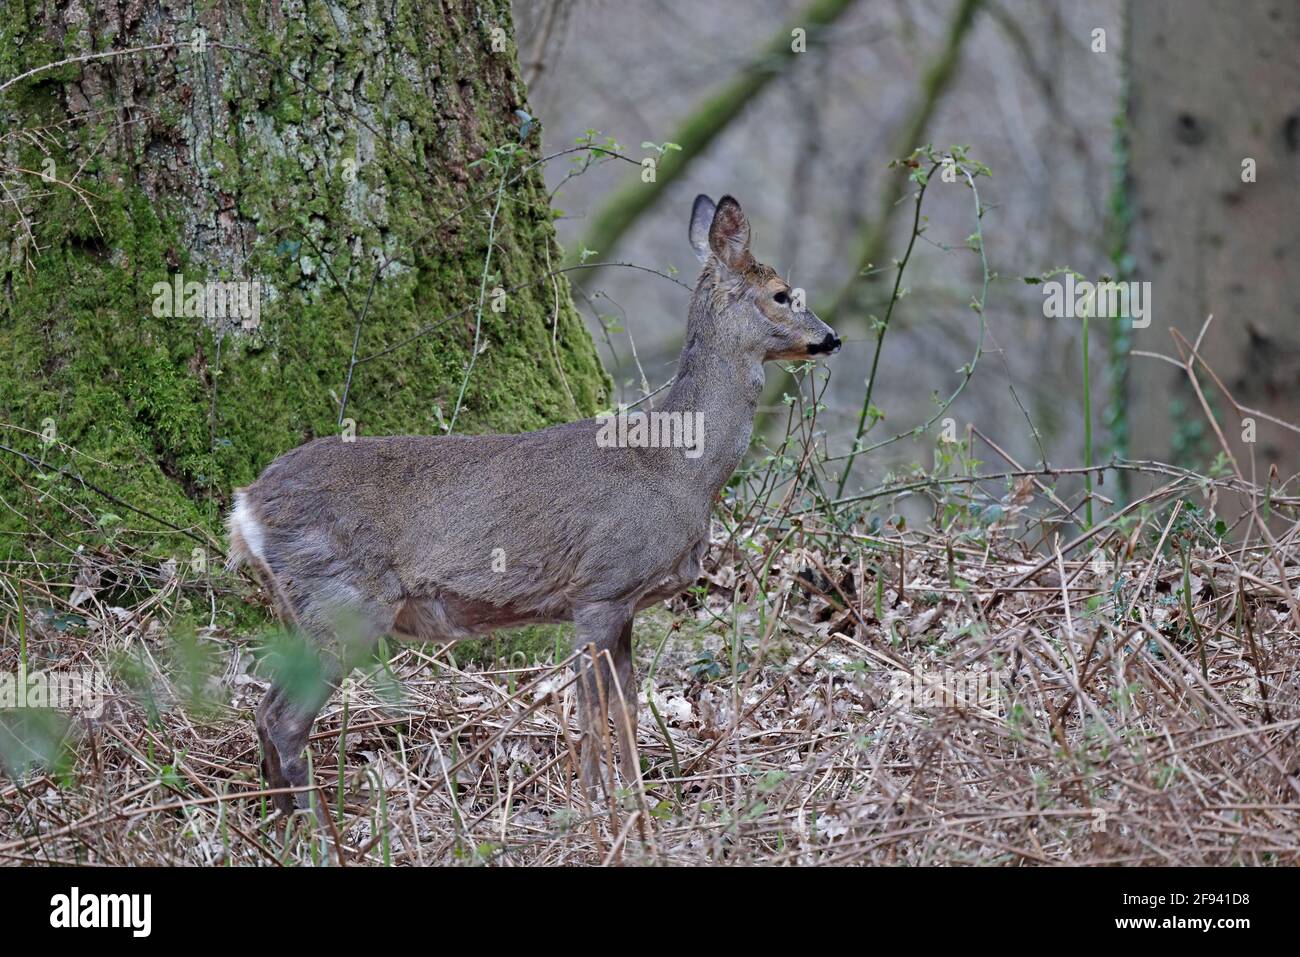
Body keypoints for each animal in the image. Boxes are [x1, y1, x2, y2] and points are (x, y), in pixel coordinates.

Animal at [226, 194, 840, 817]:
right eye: (782, 293)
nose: (833, 338)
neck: (678, 466)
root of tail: (245, 505)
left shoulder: (622, 602)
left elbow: (627, 706)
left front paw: (639, 804)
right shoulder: (602, 588)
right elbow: (592, 712)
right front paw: (595, 806)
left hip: (307, 609)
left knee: (265, 709)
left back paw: (281, 819)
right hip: (344, 600)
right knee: (284, 719)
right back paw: (313, 823)